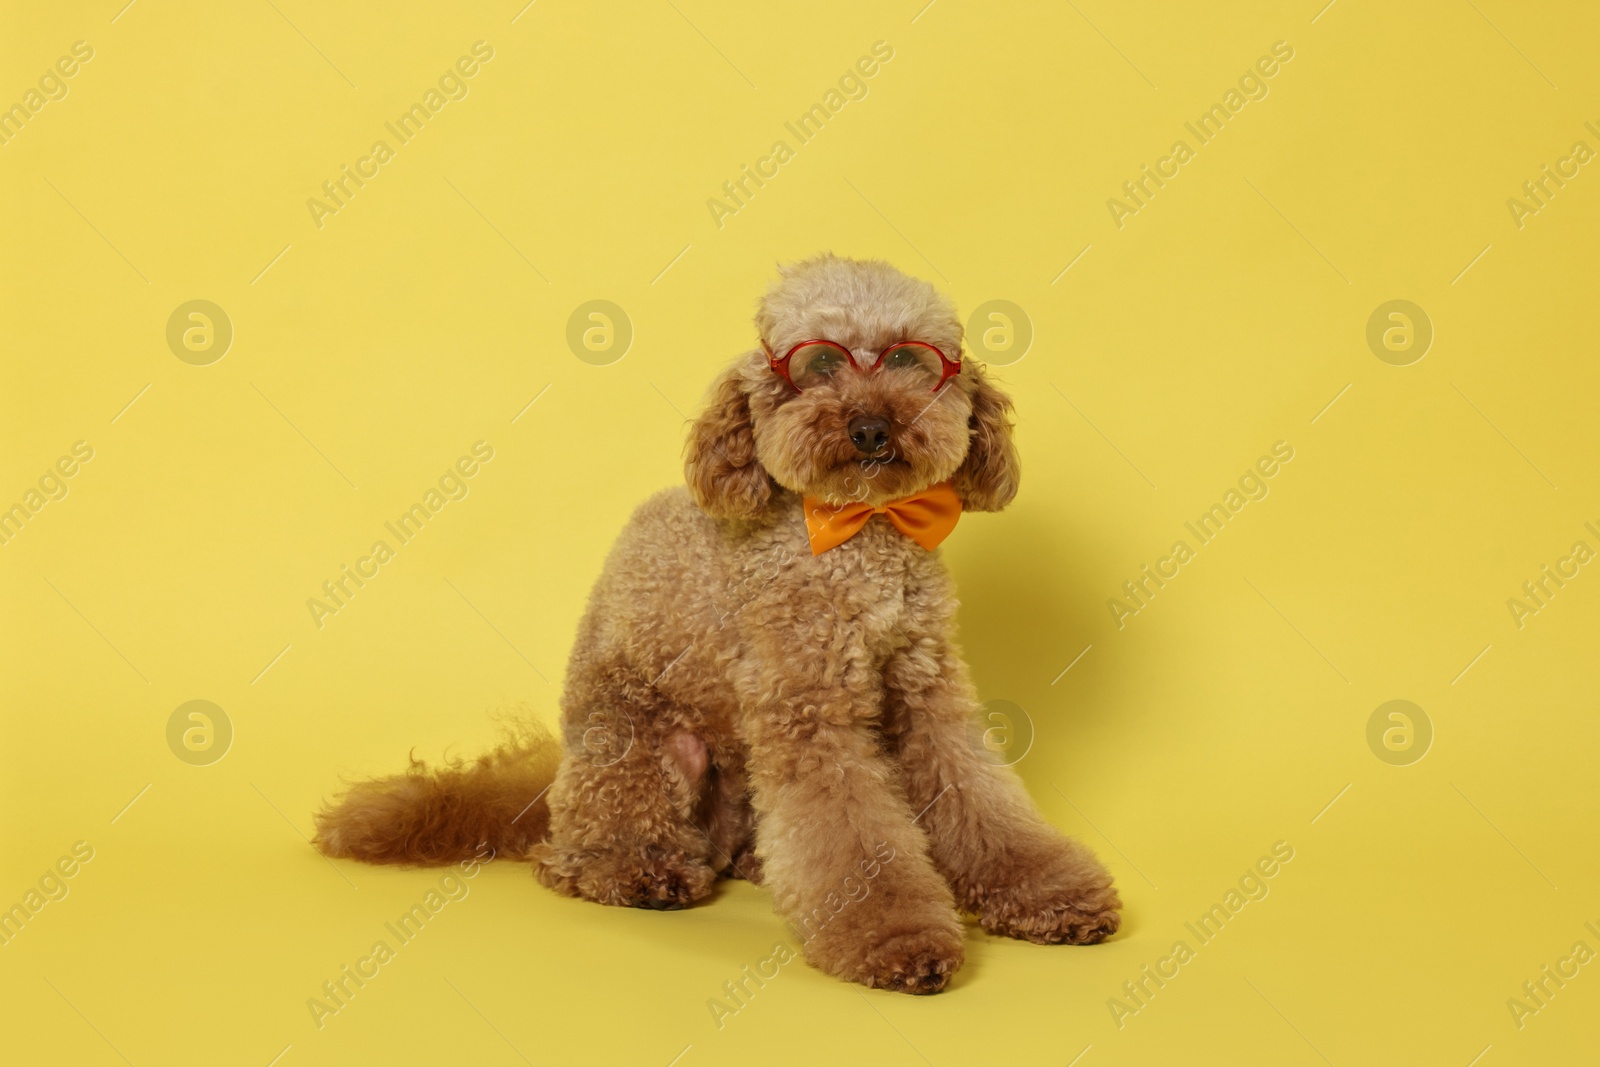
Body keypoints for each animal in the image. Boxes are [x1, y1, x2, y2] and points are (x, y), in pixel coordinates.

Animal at [315, 252, 1126, 991]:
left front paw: (1052, 895)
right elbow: (853, 834)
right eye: (820, 365)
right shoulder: (808, 714)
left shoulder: (927, 699)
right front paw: (896, 939)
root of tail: (548, 798)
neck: (858, 533)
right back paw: (635, 871)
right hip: (636, 749)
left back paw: (751, 862)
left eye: (905, 359)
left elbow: (982, 802)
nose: (869, 427)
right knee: (575, 855)